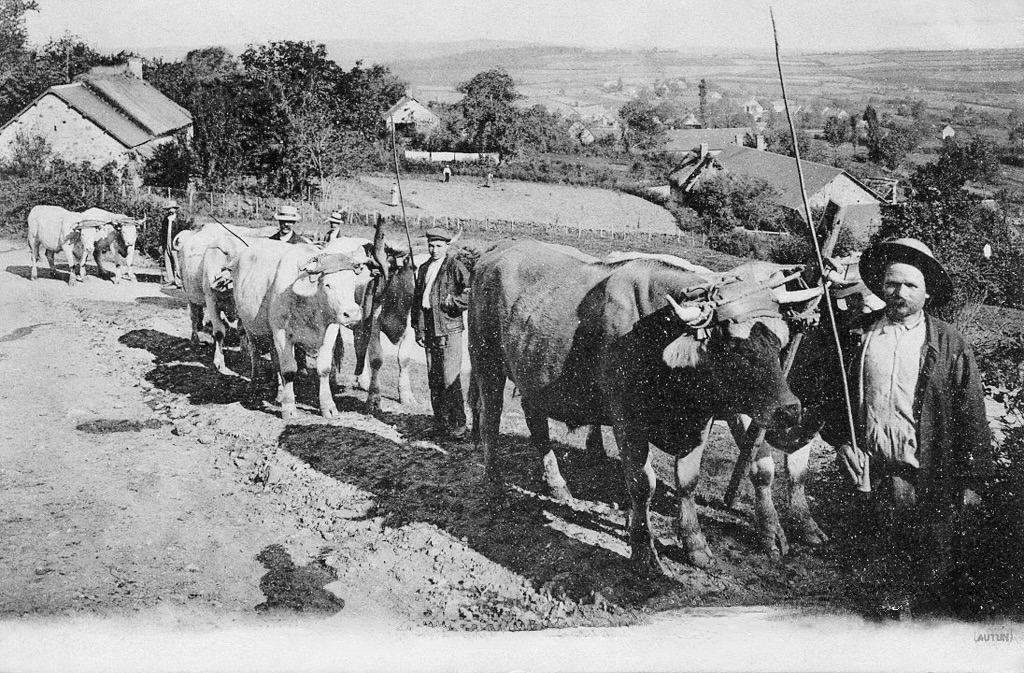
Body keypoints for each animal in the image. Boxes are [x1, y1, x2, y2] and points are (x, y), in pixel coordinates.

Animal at [231, 238, 368, 419]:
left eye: (352, 283)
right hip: (251, 328)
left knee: (275, 359)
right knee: (256, 356)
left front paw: (328, 406)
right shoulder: (281, 333)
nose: (351, 314)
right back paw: (254, 388)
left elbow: (324, 369)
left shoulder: (329, 332)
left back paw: (280, 393)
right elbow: (289, 370)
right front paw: (289, 407)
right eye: (328, 285)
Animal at [469, 239, 820, 575]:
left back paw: (557, 486)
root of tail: (499, 249)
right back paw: (495, 486)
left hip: (533, 372)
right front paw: (643, 552)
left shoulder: (698, 420)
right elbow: (642, 485)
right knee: (490, 421)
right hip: (486, 361)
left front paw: (695, 545)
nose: (790, 409)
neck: (658, 333)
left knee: (537, 424)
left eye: (780, 340)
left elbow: (688, 481)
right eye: (735, 346)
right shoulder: (628, 420)